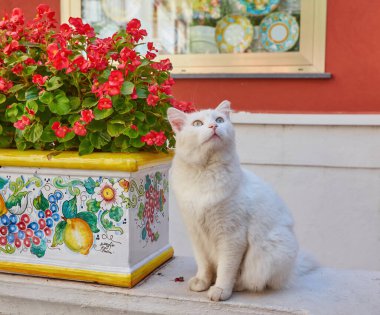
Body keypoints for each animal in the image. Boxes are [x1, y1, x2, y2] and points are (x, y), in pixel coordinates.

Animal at [168, 100, 316, 302]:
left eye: (219, 120)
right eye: (197, 123)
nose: (214, 126)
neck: (204, 174)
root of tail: (291, 270)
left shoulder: (232, 236)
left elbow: (226, 268)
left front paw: (220, 290)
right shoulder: (196, 234)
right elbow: (204, 264)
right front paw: (202, 282)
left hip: (269, 250)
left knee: (253, 281)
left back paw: (236, 285)